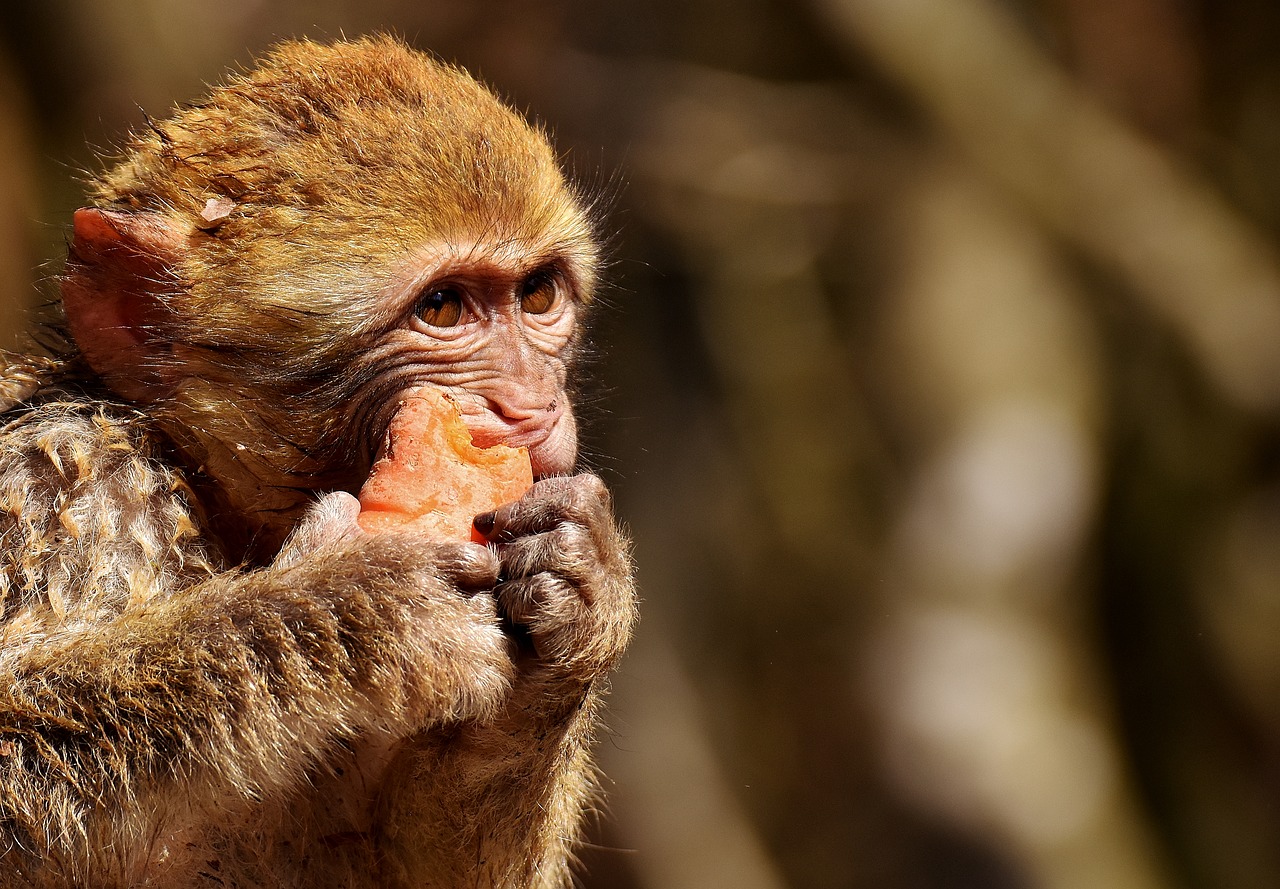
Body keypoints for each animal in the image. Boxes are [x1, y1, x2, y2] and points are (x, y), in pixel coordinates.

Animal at [0, 34, 637, 889]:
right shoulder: (65, 478)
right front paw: (365, 606)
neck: (211, 498)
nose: (532, 404)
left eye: (537, 295)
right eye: (442, 307)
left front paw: (579, 585)